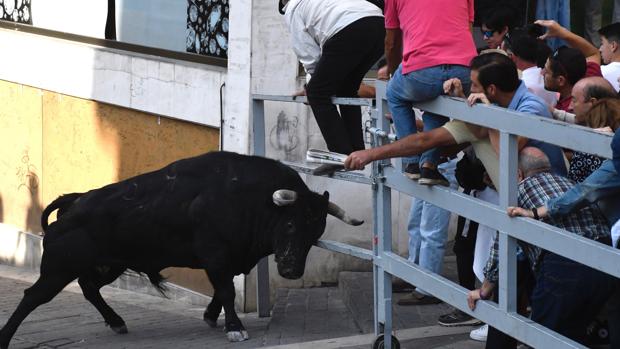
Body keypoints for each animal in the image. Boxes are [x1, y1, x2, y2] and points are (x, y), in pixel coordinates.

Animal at [0, 151, 364, 346]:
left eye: (316, 232)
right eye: (290, 224)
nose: (290, 270)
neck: (251, 199)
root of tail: (75, 201)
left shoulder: (228, 260)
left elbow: (222, 290)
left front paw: (211, 316)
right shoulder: (216, 256)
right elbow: (226, 291)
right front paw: (235, 328)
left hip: (110, 264)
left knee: (90, 288)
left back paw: (117, 321)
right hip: (58, 269)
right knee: (33, 297)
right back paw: (6, 336)